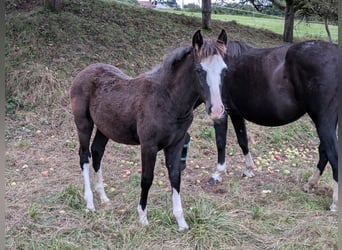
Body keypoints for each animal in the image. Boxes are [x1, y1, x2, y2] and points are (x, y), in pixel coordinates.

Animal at [69, 29, 228, 230]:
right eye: (199, 70)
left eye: (225, 70)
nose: (216, 110)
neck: (168, 100)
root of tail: (85, 71)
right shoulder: (148, 146)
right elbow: (146, 178)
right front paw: (143, 218)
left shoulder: (176, 144)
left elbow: (175, 176)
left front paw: (181, 222)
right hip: (84, 123)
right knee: (84, 155)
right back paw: (90, 203)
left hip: (105, 128)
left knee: (97, 152)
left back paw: (103, 197)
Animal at [207, 39, 338, 211]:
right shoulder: (236, 114)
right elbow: (243, 140)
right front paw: (248, 170)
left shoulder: (222, 113)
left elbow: (221, 142)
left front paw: (217, 174)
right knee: (324, 151)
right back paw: (310, 184)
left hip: (324, 121)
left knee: (332, 153)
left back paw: (335, 202)